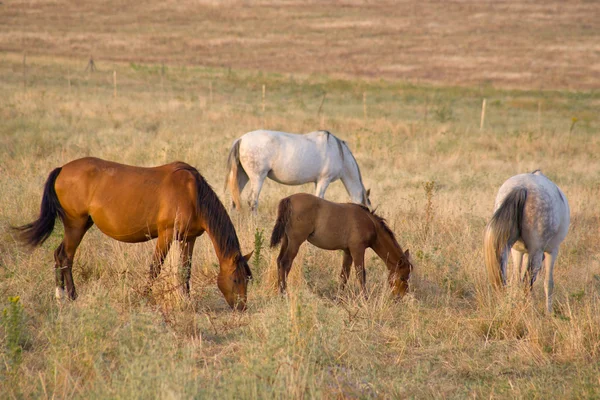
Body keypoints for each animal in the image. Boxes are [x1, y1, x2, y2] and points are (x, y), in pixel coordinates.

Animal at [13, 156, 253, 310]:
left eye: (247, 279)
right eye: (236, 278)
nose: (241, 307)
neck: (192, 192)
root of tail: (62, 169)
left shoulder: (188, 238)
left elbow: (185, 270)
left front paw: (187, 301)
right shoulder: (166, 235)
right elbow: (155, 268)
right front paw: (144, 298)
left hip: (80, 225)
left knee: (60, 254)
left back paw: (60, 296)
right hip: (75, 225)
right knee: (65, 256)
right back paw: (70, 296)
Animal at [224, 130, 370, 212]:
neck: (339, 153)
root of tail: (241, 139)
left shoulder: (317, 181)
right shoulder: (324, 180)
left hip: (243, 176)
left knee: (234, 198)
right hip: (258, 177)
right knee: (252, 201)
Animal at [268, 192, 412, 298]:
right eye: (403, 277)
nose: (400, 297)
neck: (370, 223)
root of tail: (289, 199)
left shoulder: (347, 251)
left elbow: (344, 275)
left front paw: (339, 298)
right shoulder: (357, 249)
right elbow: (361, 274)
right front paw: (365, 298)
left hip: (286, 240)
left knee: (279, 261)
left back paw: (279, 290)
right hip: (295, 242)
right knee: (285, 263)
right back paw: (284, 293)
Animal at [482, 170, 572, 314]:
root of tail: (522, 187)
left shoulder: (518, 252)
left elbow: (516, 279)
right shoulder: (552, 250)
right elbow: (548, 283)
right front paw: (549, 312)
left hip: (508, 247)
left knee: (511, 277)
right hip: (537, 250)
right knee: (527, 283)